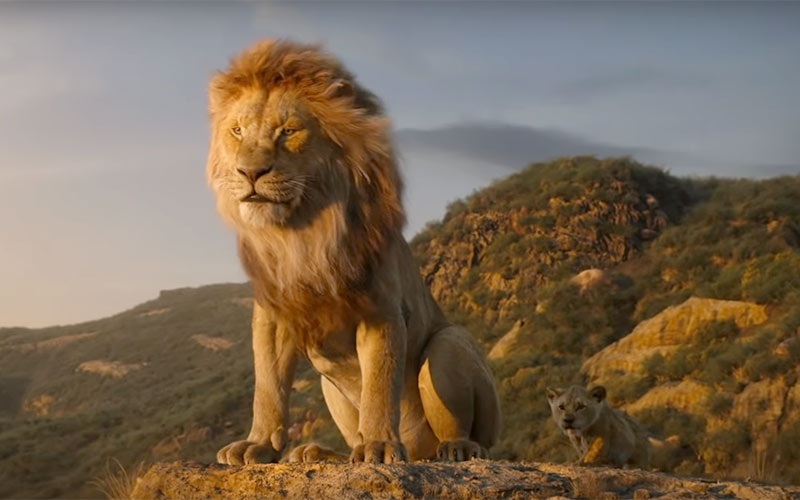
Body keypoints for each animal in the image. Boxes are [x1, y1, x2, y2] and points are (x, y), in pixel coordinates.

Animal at [207, 39, 501, 465]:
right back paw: (316, 453)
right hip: (329, 386)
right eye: (237, 131)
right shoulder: (273, 316)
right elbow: (268, 387)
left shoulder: (381, 309)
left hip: (450, 343)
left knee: (473, 435)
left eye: (289, 131)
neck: (301, 233)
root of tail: (418, 452)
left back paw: (457, 448)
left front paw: (378, 446)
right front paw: (258, 444)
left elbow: (378, 384)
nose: (249, 173)